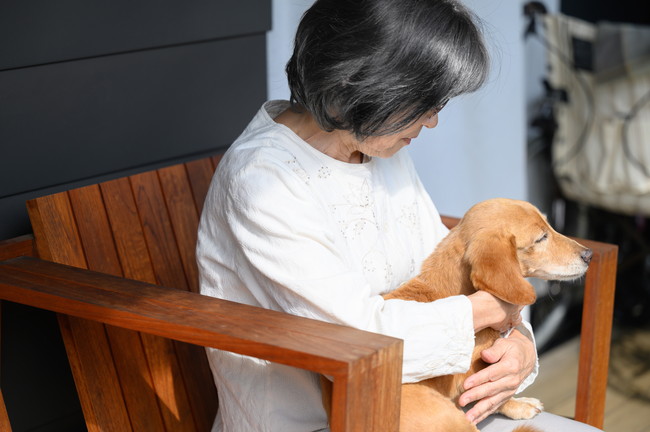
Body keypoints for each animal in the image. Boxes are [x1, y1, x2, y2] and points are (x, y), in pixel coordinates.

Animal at [380, 199, 592, 432]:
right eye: (541, 237)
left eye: (550, 226)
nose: (589, 255)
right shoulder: (472, 375)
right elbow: (496, 396)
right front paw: (518, 405)